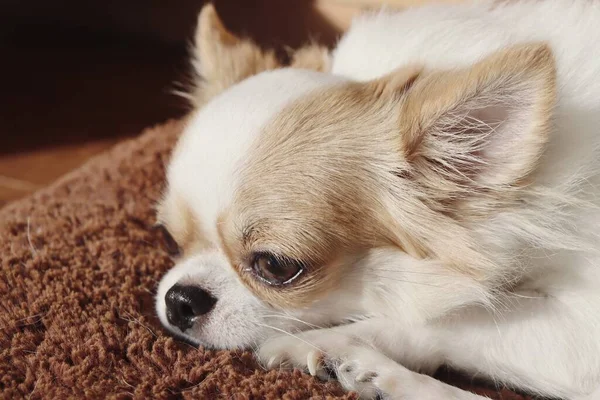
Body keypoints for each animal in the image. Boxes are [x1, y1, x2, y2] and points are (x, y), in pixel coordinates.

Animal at [154, 1, 600, 398]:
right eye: (172, 238)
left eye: (275, 265)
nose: (180, 299)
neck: (529, 192)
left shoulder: (580, 332)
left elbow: (454, 319)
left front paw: (323, 342)